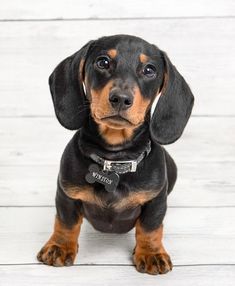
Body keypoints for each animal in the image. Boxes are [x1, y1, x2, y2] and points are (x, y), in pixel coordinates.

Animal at [37, 34, 195, 274]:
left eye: (149, 70)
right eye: (103, 62)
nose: (120, 98)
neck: (113, 160)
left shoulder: (156, 201)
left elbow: (150, 228)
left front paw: (151, 253)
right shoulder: (66, 194)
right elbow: (66, 222)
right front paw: (60, 247)